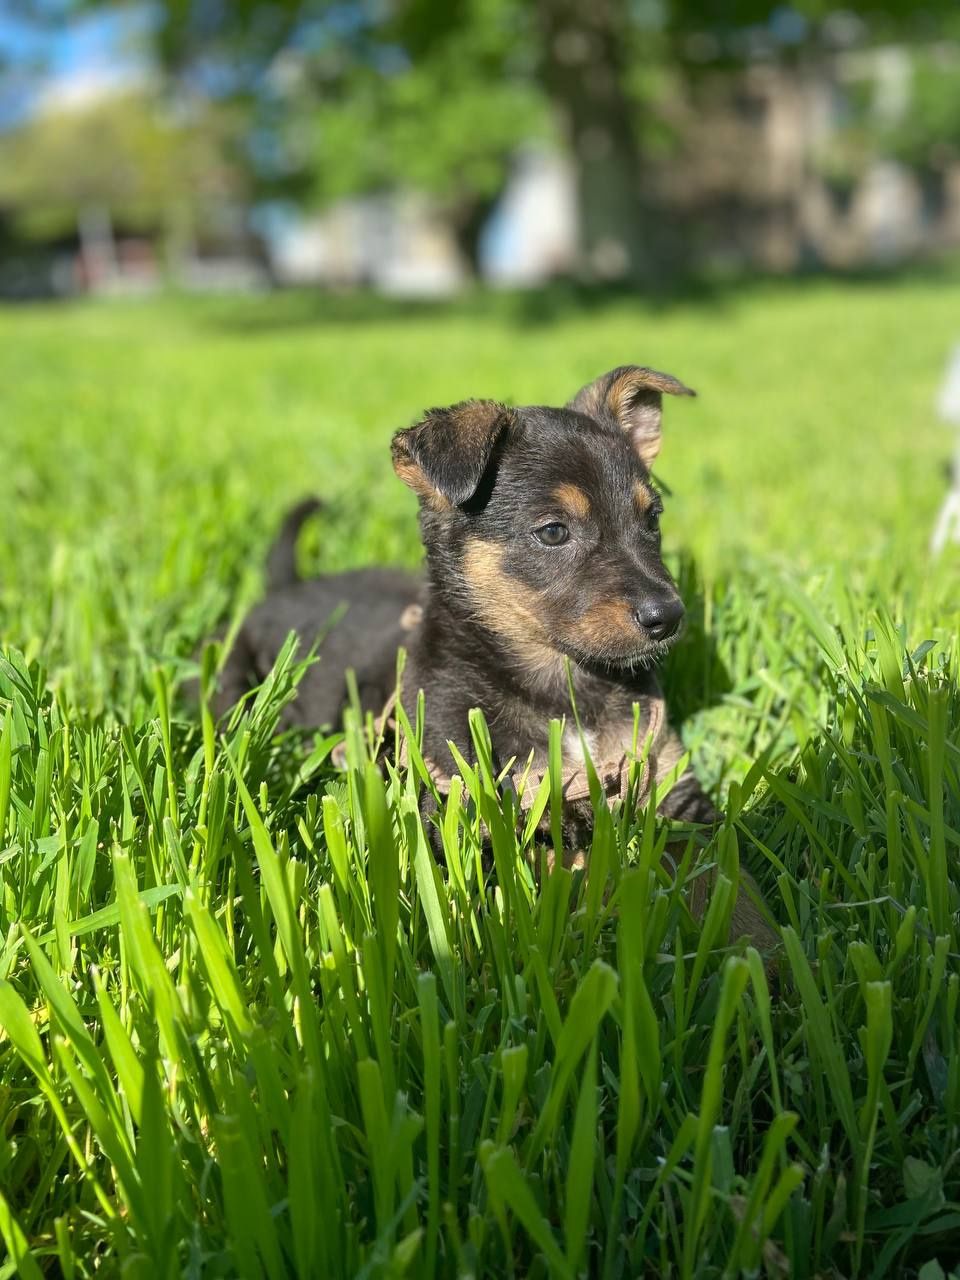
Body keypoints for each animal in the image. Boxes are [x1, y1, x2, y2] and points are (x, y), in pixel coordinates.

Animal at [217, 371, 783, 952]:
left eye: (652, 519)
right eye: (553, 531)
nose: (668, 617)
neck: (565, 683)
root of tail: (284, 588)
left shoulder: (672, 786)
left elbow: (727, 879)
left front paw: (767, 956)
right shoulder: (478, 802)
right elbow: (568, 861)